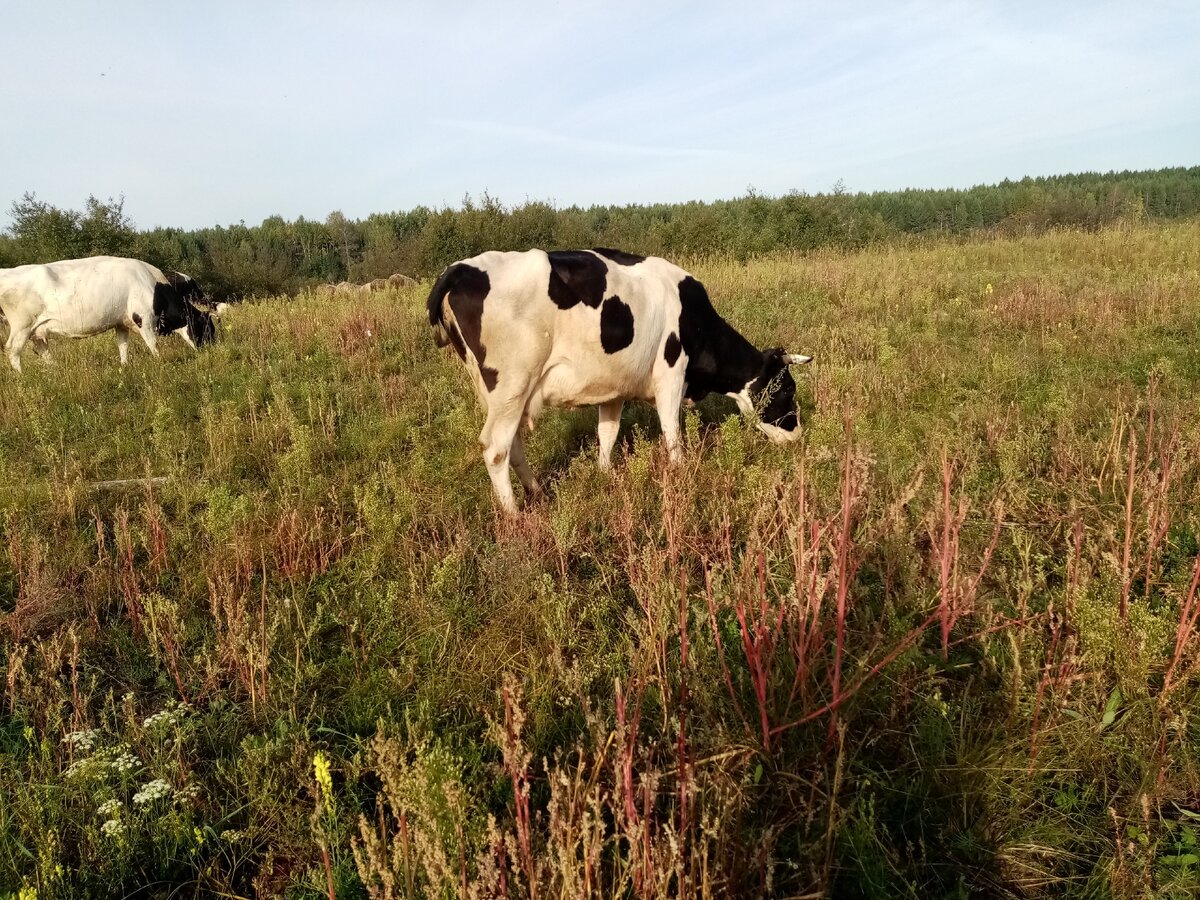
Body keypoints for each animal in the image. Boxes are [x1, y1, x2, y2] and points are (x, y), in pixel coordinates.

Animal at [0, 254, 220, 374]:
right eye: (206, 328)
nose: (212, 350)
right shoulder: (144, 319)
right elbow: (153, 344)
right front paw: (160, 362)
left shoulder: (121, 323)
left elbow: (123, 346)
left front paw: (125, 366)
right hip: (21, 325)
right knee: (12, 350)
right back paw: (22, 378)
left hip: (36, 329)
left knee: (42, 349)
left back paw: (54, 370)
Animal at [427, 248, 811, 513]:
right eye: (788, 389)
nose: (798, 436)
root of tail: (460, 269)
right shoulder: (671, 375)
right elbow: (672, 433)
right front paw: (681, 474)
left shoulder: (613, 388)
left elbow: (607, 433)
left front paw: (605, 475)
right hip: (513, 382)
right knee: (496, 448)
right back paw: (514, 515)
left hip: (505, 393)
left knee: (513, 443)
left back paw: (537, 491)